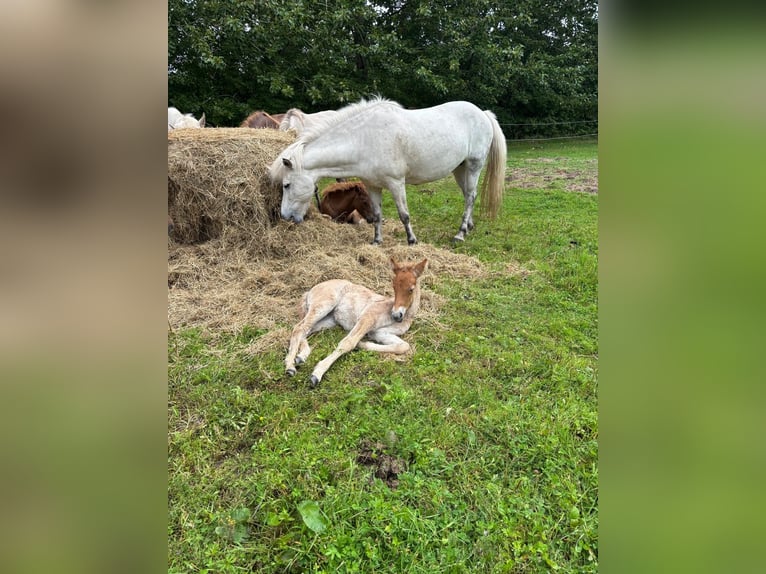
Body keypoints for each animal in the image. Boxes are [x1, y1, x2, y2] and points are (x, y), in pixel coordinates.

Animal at [269, 97, 507, 244]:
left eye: (286, 185)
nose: (285, 216)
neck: (364, 140)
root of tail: (482, 113)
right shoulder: (372, 185)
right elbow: (377, 214)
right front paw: (376, 241)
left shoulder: (396, 183)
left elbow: (404, 215)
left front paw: (411, 241)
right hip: (460, 169)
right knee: (468, 195)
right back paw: (469, 226)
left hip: (474, 165)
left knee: (471, 196)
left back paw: (460, 234)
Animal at [284, 257, 428, 387]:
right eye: (394, 286)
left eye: (411, 289)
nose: (396, 315)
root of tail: (311, 289)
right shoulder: (367, 318)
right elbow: (348, 343)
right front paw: (317, 373)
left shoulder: (379, 333)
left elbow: (403, 346)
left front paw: (362, 344)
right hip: (323, 305)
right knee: (299, 328)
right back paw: (290, 367)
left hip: (329, 320)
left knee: (305, 329)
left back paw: (301, 356)